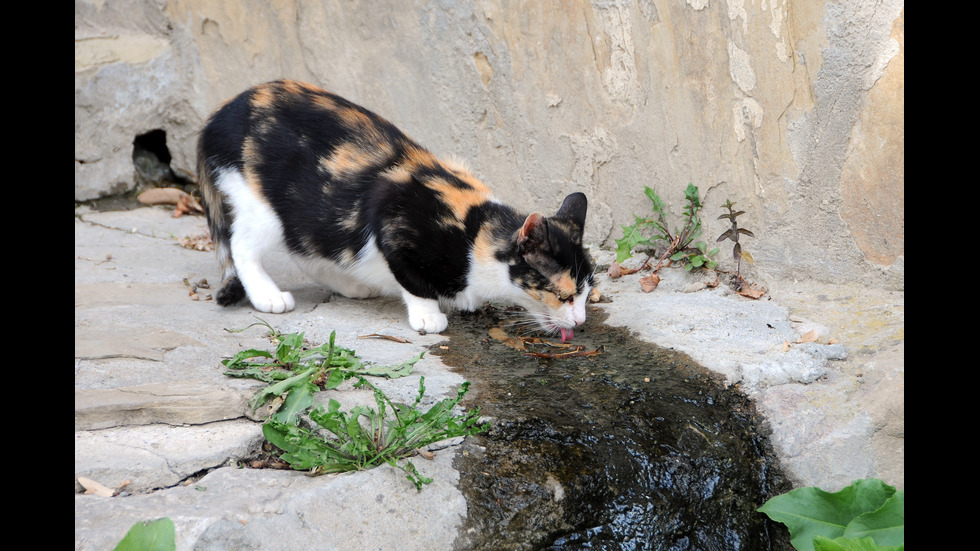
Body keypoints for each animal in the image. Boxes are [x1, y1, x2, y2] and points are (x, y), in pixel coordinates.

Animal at [196, 81, 592, 340]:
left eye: (587, 293)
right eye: (564, 296)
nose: (581, 321)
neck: (475, 231)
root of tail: (218, 114)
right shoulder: (394, 222)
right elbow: (414, 280)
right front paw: (429, 316)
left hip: (310, 214)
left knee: (306, 248)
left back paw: (351, 284)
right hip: (261, 206)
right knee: (242, 245)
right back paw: (268, 296)